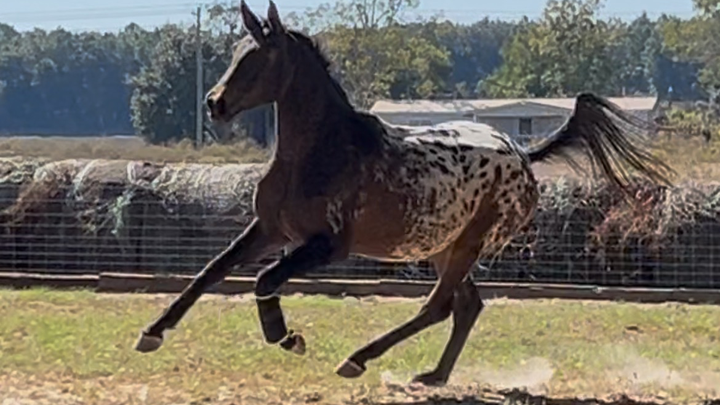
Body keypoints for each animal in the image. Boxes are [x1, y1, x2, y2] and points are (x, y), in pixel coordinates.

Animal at [134, 0, 675, 386]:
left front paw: (286, 337)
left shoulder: (326, 246)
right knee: (466, 307)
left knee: (438, 307)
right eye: (232, 56)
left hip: (470, 243)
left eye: (256, 58)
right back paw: (433, 375)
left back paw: (358, 359)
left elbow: (265, 279)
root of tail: (522, 154)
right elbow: (211, 271)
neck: (318, 151)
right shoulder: (269, 229)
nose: (214, 103)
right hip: (443, 246)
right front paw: (153, 332)